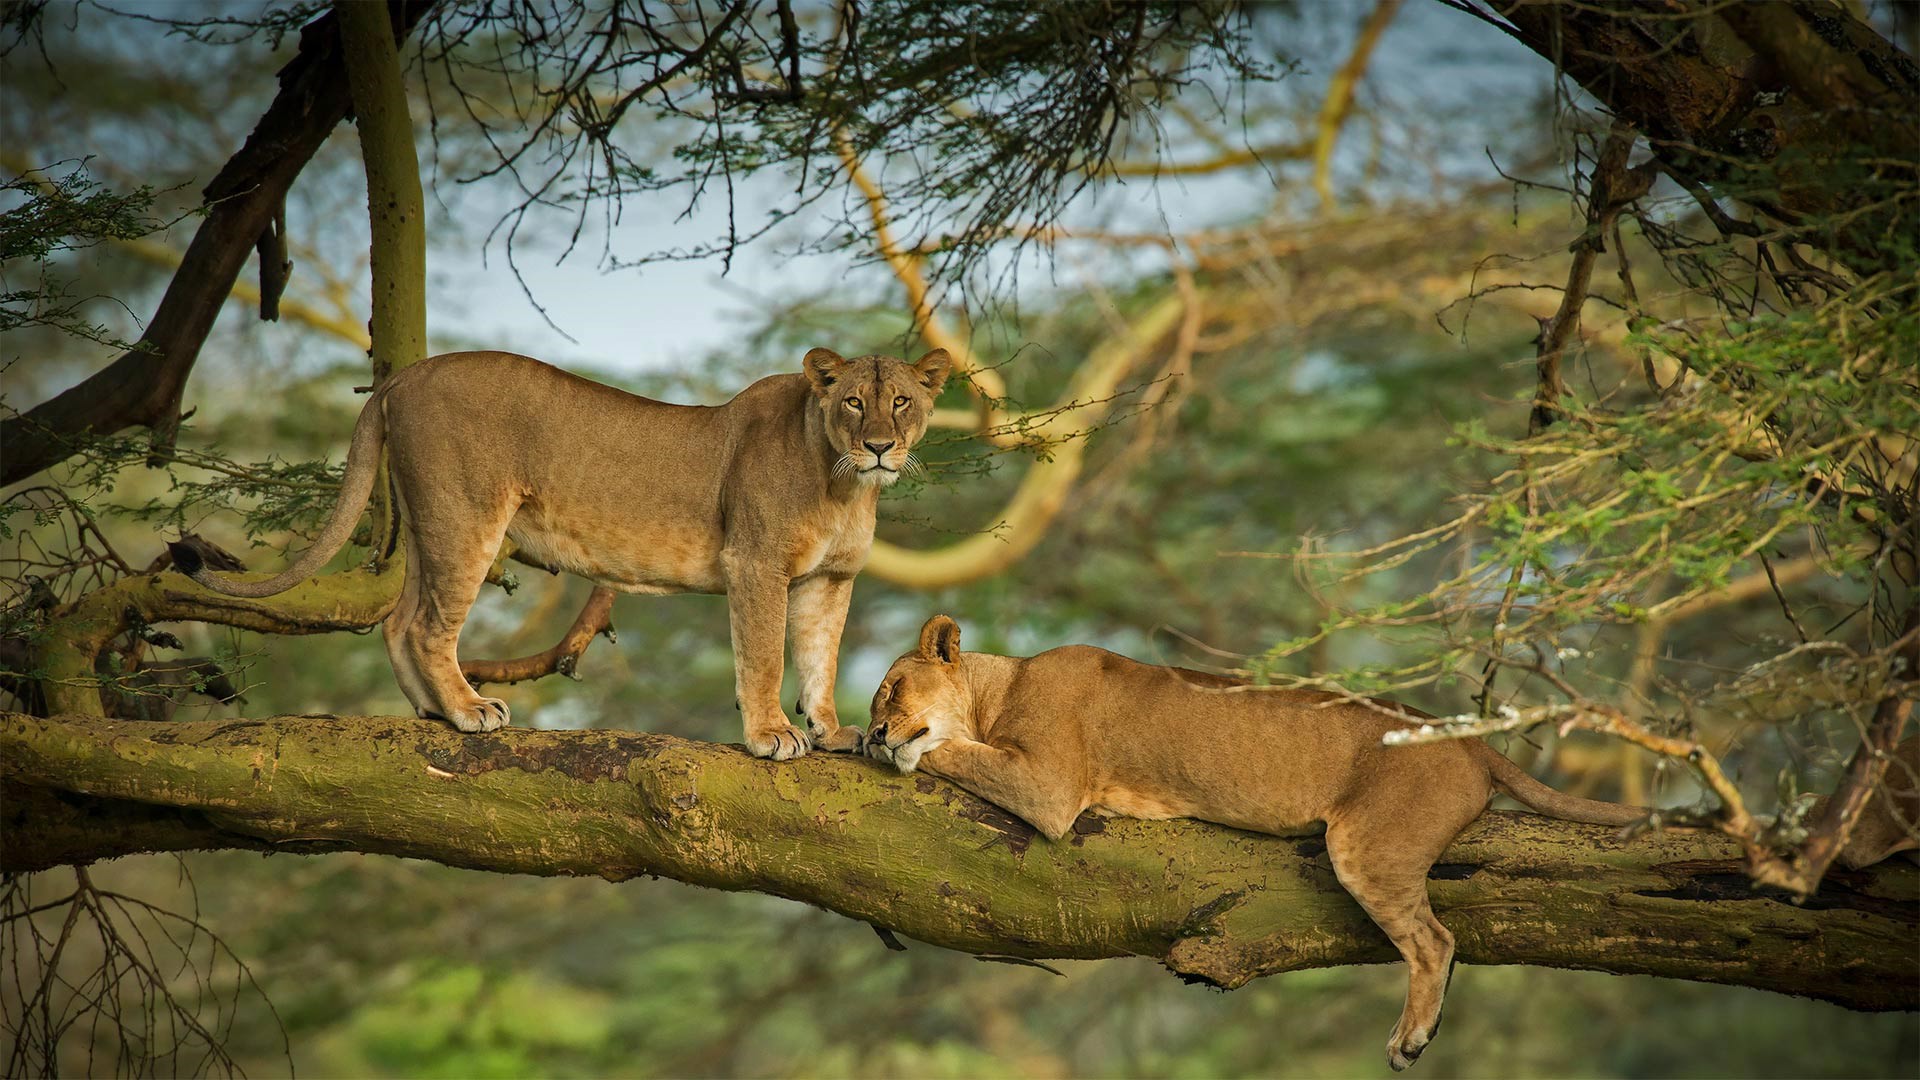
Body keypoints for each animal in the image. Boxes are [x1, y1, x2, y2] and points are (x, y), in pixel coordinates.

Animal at [171, 347, 949, 759]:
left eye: (902, 402)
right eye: (854, 402)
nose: (880, 446)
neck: (842, 484)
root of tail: (404, 375)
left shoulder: (831, 579)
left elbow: (820, 657)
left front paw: (829, 729)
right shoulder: (755, 564)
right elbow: (763, 657)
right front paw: (772, 736)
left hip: (430, 523)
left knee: (397, 621)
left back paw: (433, 713)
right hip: (466, 515)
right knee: (426, 625)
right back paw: (469, 712)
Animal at [865, 615, 1647, 1071]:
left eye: (892, 688)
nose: (874, 732)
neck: (1002, 685)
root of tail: (1471, 740)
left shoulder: (1048, 788)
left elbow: (947, 751)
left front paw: (875, 745)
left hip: (1368, 844)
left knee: (1435, 941)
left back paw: (1411, 1039)